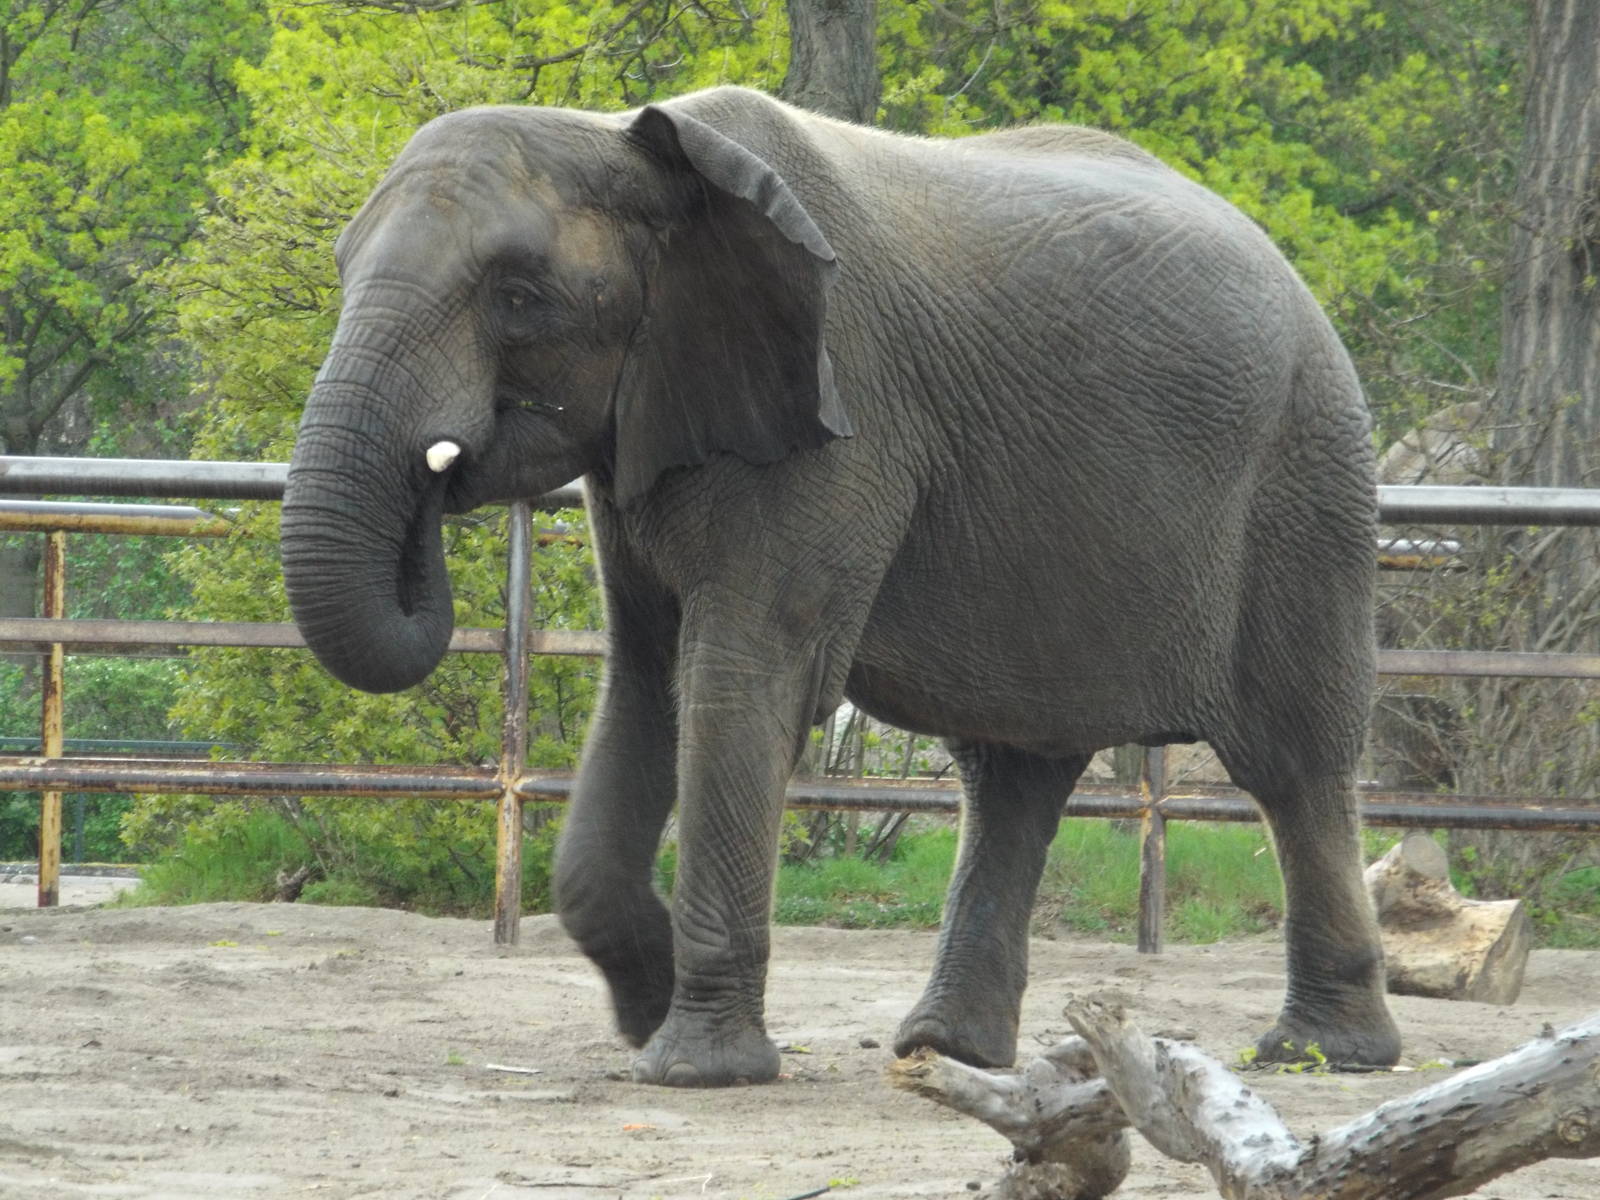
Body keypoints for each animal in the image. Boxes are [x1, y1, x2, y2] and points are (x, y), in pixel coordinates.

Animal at [280, 85, 1401, 1087]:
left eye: (516, 296)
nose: (441, 469)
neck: (636, 148)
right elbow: (643, 682)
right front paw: (648, 1011)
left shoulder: (835, 413)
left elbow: (738, 677)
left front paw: (694, 1071)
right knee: (1011, 774)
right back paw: (947, 1052)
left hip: (1305, 481)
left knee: (1292, 760)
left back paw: (1321, 1055)